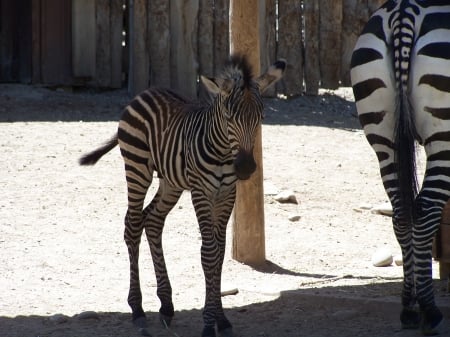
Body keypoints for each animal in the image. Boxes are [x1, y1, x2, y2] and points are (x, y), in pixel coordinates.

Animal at [78, 53, 284, 334]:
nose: (245, 167)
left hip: (171, 182)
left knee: (153, 221)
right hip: (137, 168)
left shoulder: (227, 194)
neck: (223, 154)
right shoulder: (200, 191)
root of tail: (146, 92)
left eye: (261, 116)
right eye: (228, 116)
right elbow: (208, 253)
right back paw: (137, 308)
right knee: (132, 225)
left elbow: (219, 253)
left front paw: (221, 319)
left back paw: (166, 305)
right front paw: (209, 324)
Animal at [352, 0, 450, 334]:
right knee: (426, 210)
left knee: (400, 214)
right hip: (444, 133)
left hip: (382, 135)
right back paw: (430, 311)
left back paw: (409, 307)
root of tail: (405, 11)